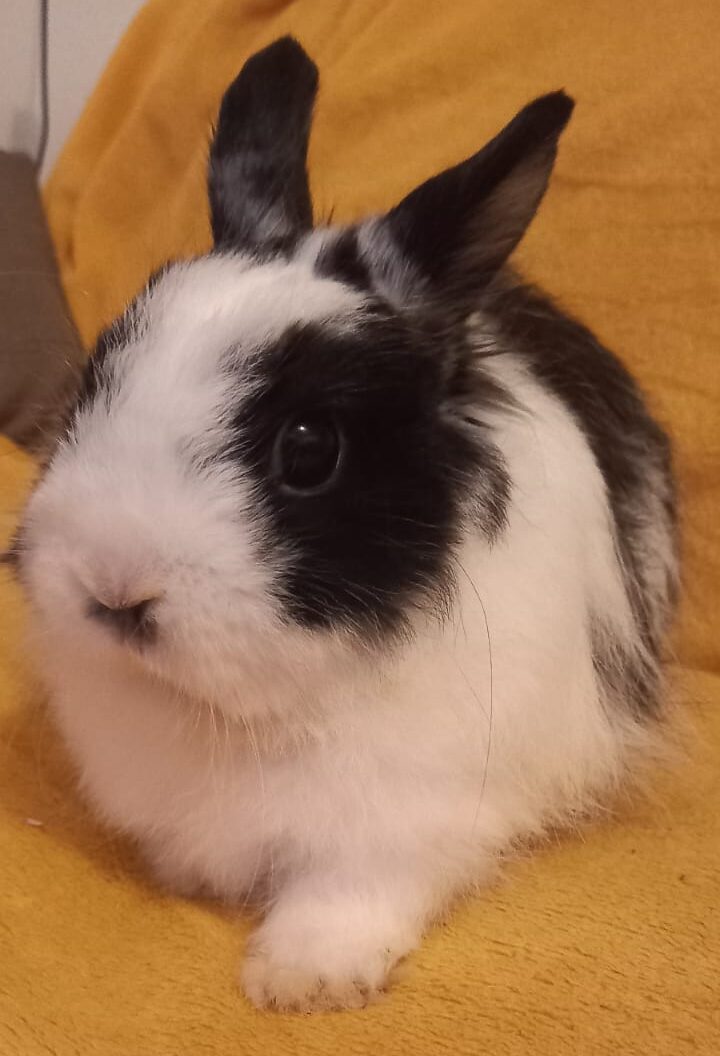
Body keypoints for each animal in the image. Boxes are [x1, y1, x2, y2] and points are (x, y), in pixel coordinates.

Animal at [11, 37, 678, 1011]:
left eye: (309, 451)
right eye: (97, 378)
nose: (114, 587)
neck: (247, 706)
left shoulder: (412, 816)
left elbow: (352, 890)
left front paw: (303, 980)